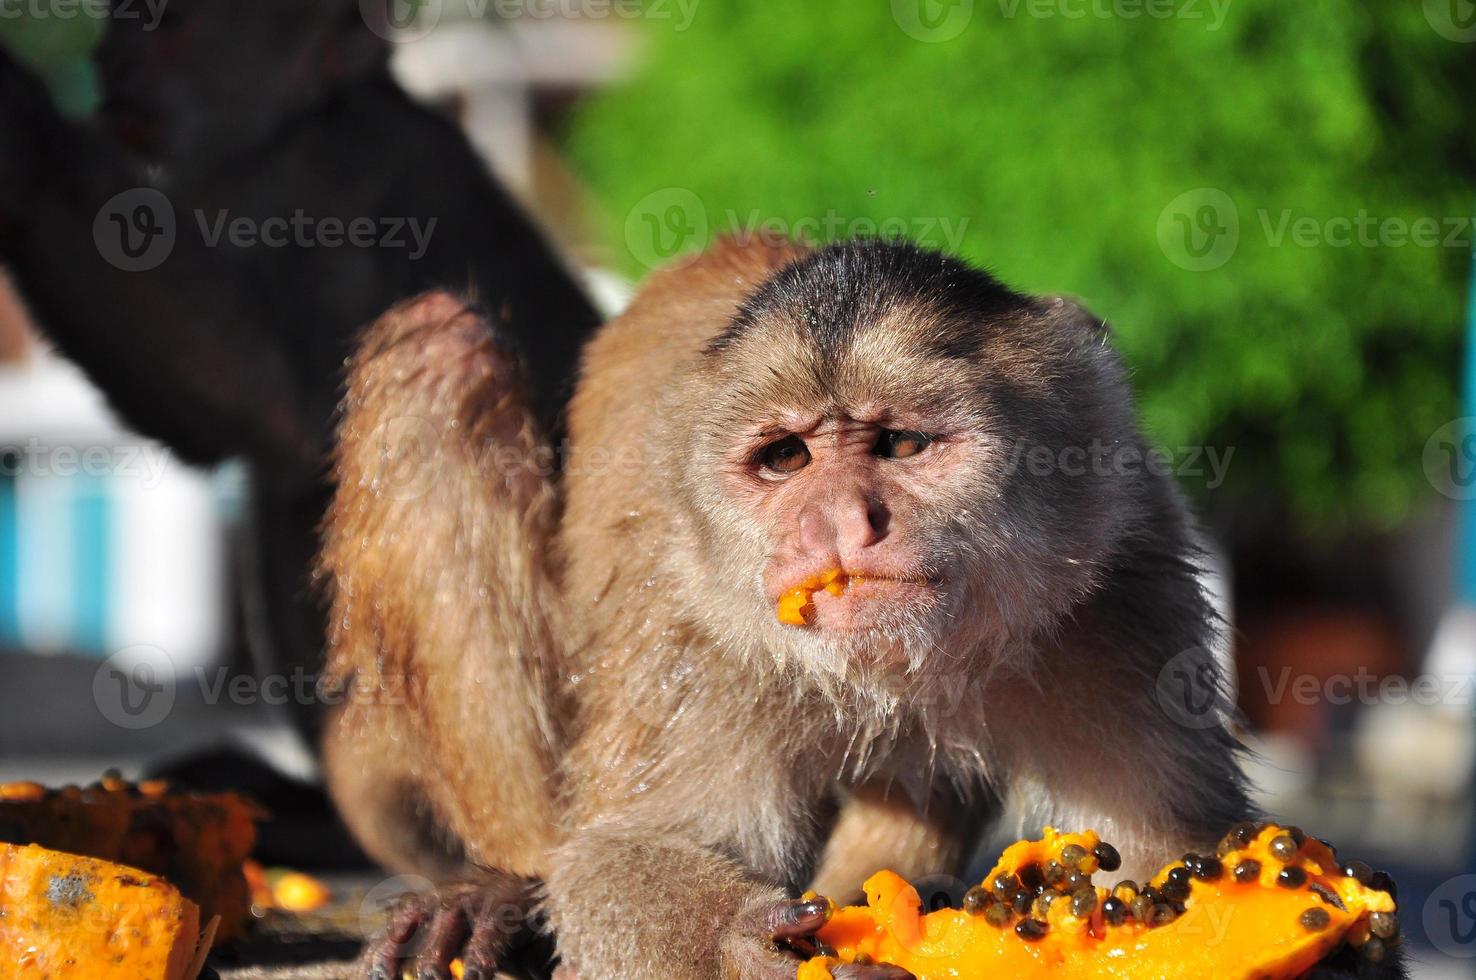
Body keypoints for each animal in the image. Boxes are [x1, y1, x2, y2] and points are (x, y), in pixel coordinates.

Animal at [317, 237, 1411, 980]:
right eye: (786, 458)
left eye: (899, 445)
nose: (845, 522)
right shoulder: (693, 609)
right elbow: (616, 859)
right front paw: (746, 946)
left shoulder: (1120, 577)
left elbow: (1168, 857)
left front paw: (1311, 925)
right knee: (439, 347)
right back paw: (502, 879)